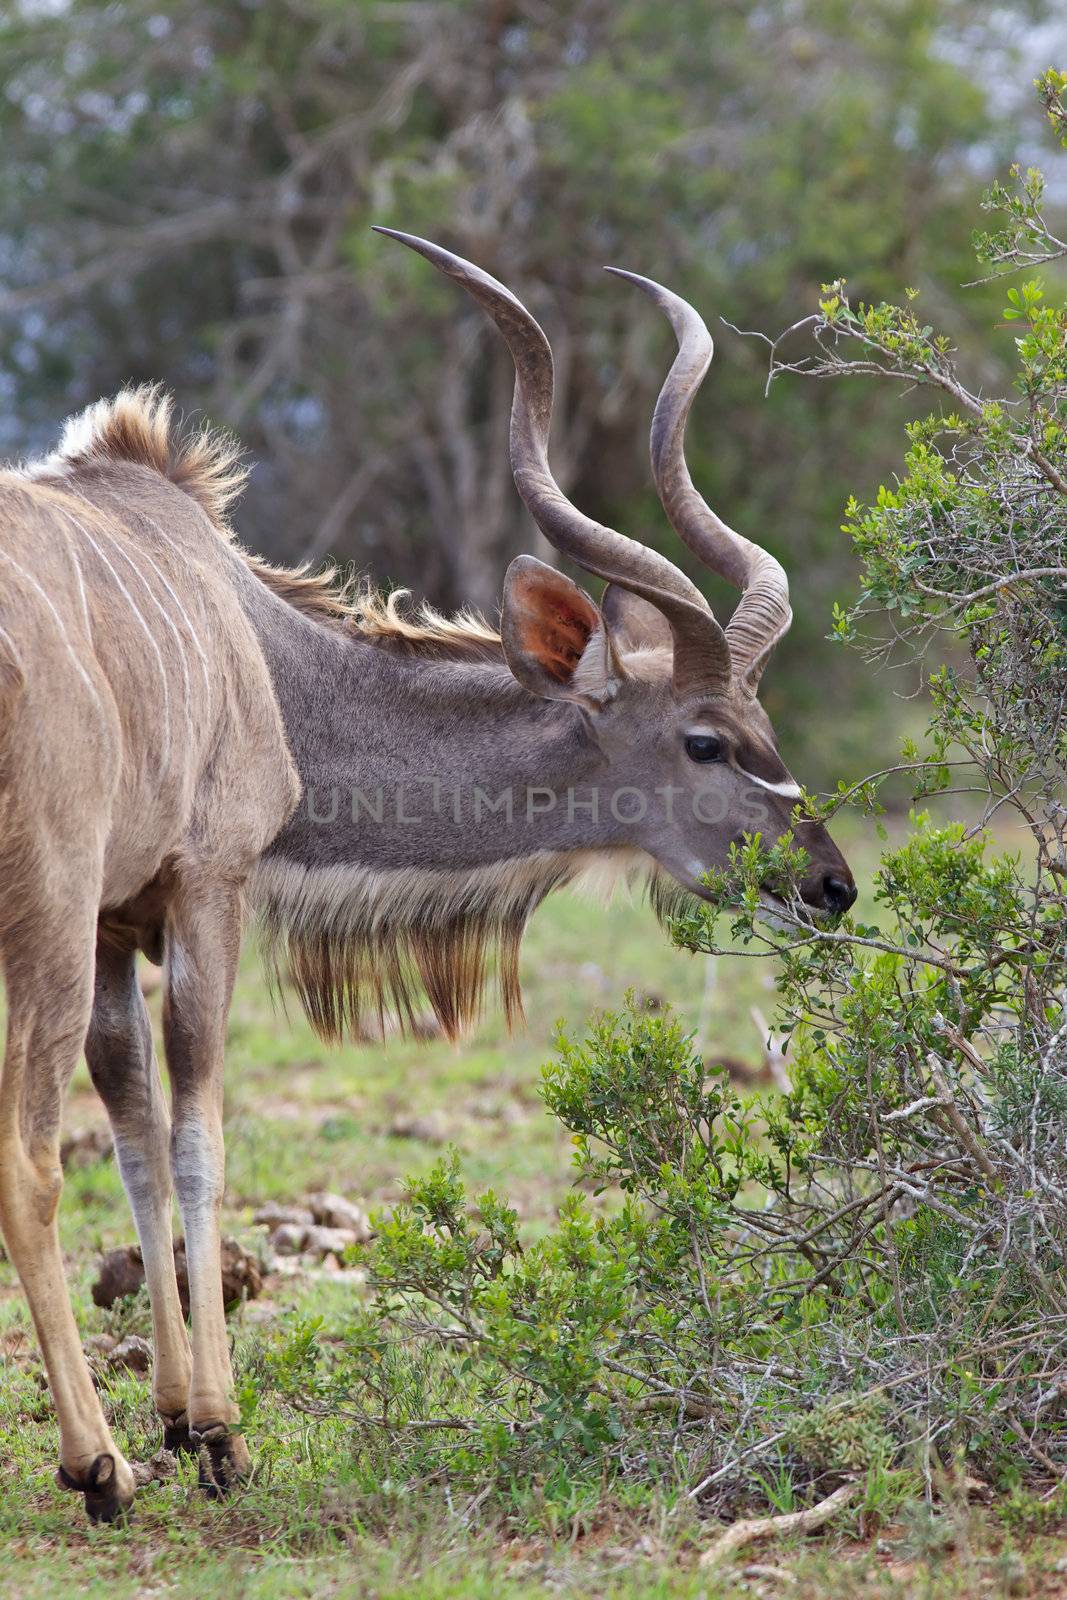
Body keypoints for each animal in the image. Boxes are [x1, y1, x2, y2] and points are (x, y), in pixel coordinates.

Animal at [0, 233, 851, 1510]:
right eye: (705, 740)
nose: (828, 883)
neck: (257, 647)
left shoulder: (117, 921)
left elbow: (141, 1131)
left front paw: (177, 1413)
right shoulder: (202, 887)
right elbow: (194, 1133)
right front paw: (217, 1430)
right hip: (42, 923)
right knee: (30, 1162)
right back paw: (95, 1464)